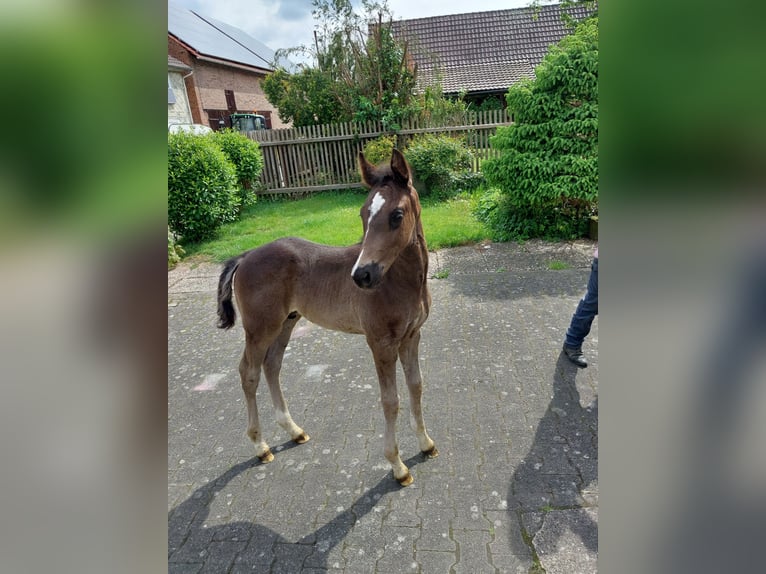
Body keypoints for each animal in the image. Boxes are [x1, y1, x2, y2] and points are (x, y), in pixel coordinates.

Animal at [219, 150, 440, 486]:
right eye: (363, 214)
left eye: (397, 215)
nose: (362, 275)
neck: (399, 282)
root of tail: (245, 256)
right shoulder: (381, 343)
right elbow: (390, 401)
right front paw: (398, 465)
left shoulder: (412, 336)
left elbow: (416, 385)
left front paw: (426, 444)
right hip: (259, 328)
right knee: (249, 372)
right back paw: (261, 446)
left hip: (287, 321)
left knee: (272, 365)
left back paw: (294, 431)